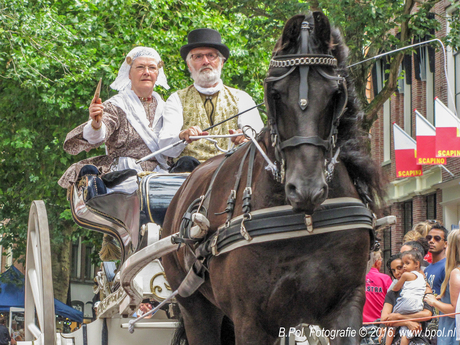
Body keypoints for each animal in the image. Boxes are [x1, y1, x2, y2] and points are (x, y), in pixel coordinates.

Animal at [162, 12, 384, 344]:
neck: (302, 224)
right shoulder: (250, 319)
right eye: (275, 93)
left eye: (336, 94)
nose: (306, 189)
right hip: (195, 308)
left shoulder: (346, 304)